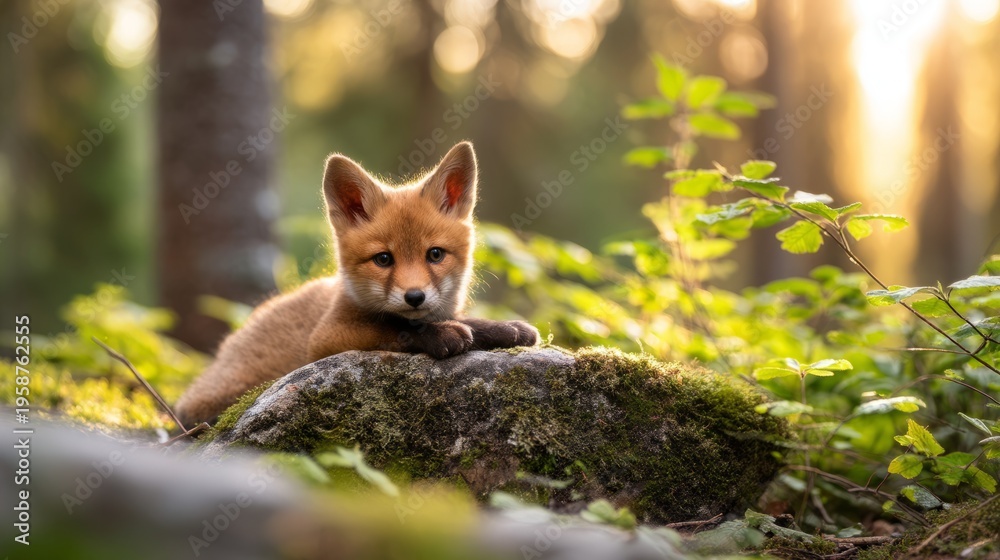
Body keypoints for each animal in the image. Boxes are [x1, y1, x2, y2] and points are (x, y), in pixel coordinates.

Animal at [175, 141, 540, 426]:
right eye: (383, 259)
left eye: (434, 254)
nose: (415, 297)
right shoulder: (326, 338)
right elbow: (393, 328)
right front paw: (441, 335)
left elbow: (469, 322)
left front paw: (504, 328)